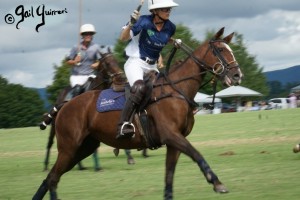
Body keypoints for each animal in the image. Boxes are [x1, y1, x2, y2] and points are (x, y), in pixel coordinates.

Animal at [32, 27, 244, 200]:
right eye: (221, 50)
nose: (237, 75)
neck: (177, 90)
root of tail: (65, 104)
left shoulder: (173, 143)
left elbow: (169, 177)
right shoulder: (171, 135)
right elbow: (196, 154)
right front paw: (217, 183)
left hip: (84, 147)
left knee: (51, 178)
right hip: (69, 148)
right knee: (52, 176)